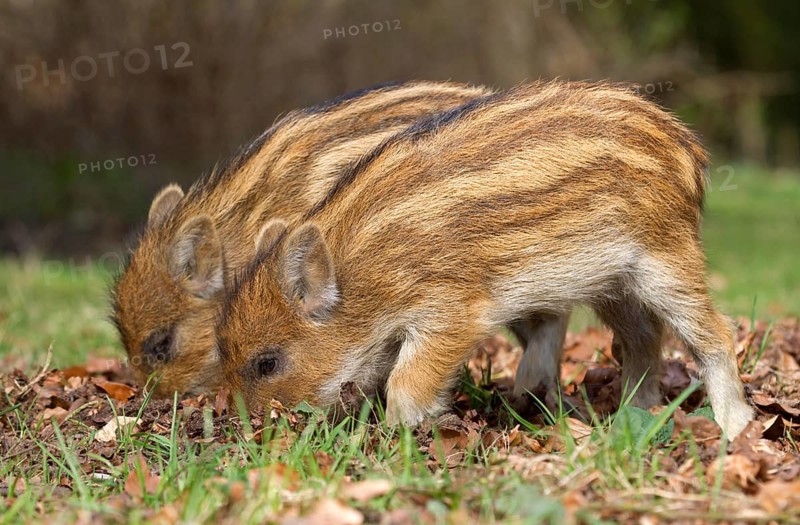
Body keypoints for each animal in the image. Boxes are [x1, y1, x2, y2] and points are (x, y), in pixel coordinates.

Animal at [217, 80, 754, 437]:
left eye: (267, 362)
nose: (255, 432)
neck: (365, 271)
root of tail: (688, 146)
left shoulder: (451, 307)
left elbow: (407, 382)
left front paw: (404, 437)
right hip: (612, 282)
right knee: (643, 338)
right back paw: (629, 418)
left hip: (666, 257)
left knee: (715, 333)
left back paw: (733, 427)